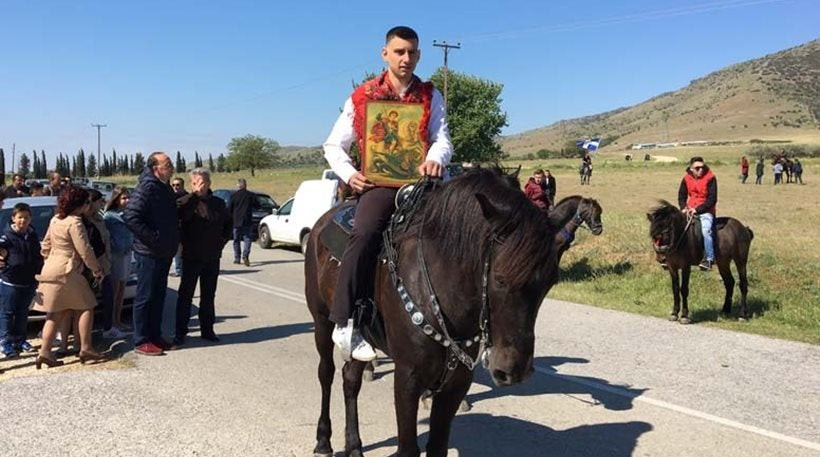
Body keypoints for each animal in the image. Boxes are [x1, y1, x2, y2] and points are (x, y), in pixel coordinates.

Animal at [304, 167, 560, 456]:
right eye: (500, 279)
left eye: (551, 281)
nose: (515, 370)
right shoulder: (407, 379)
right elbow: (408, 448)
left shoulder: (457, 382)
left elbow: (438, 446)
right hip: (322, 321)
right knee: (326, 373)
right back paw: (323, 440)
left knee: (350, 379)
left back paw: (354, 445)